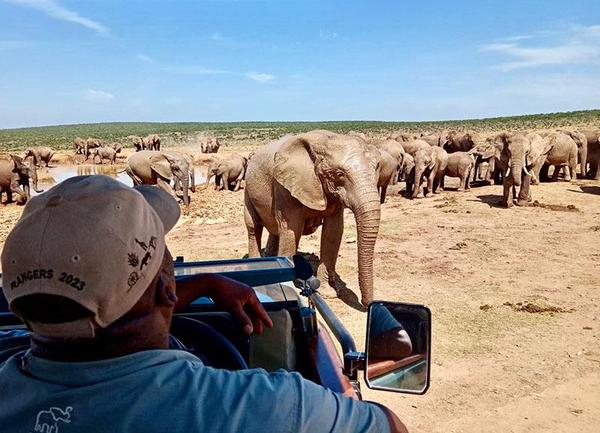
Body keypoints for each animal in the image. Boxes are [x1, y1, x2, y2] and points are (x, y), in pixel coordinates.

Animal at [244, 130, 380, 306]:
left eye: (376, 168)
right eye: (339, 174)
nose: (368, 303)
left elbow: (333, 232)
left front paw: (328, 293)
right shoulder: (284, 186)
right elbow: (291, 230)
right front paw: (291, 286)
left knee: (275, 231)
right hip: (247, 189)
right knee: (254, 227)